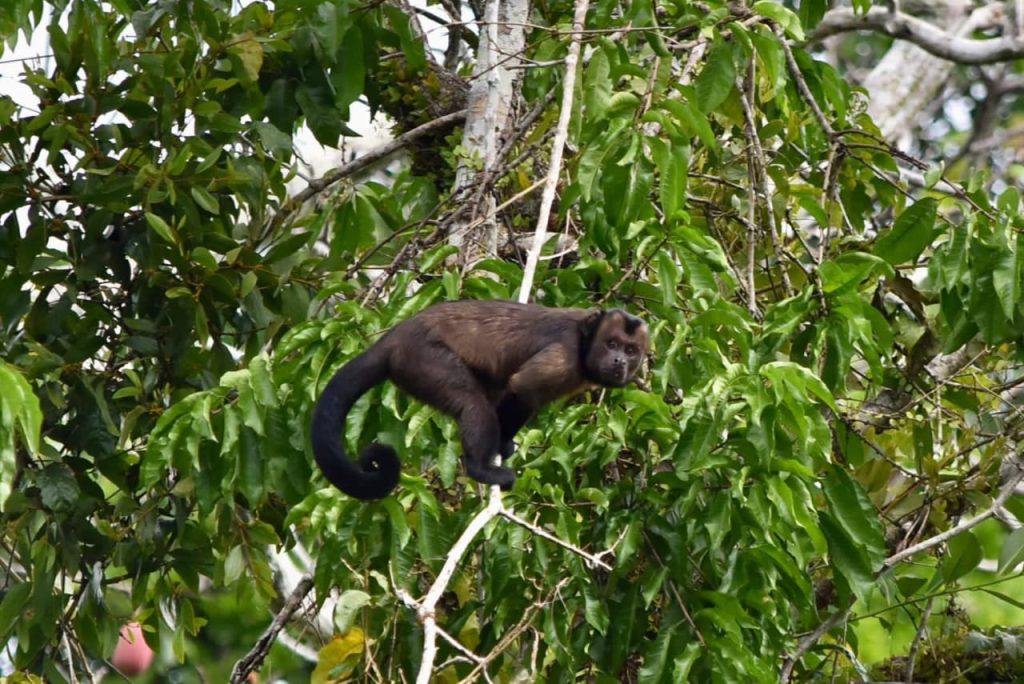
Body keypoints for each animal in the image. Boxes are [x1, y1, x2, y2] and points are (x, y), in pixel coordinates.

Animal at [310, 300, 648, 500]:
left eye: (631, 350)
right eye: (612, 344)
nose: (619, 361)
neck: (584, 343)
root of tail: (393, 338)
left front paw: (504, 445)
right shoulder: (563, 356)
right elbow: (523, 388)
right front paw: (499, 447)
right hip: (421, 358)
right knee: (473, 403)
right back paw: (479, 468)